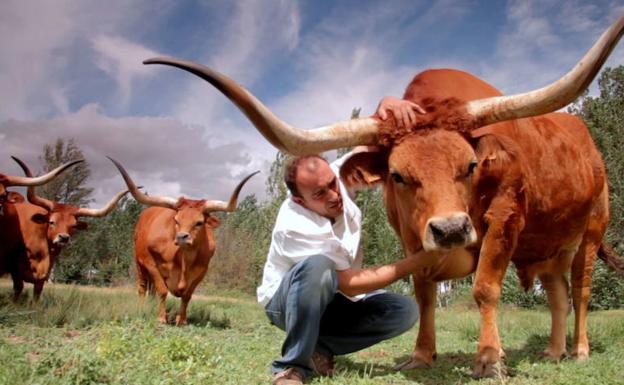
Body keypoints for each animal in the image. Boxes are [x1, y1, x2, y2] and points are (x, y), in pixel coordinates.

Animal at [108, 156, 258, 324]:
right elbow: (162, 291)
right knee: (142, 287)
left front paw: (182, 320)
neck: (184, 258)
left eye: (199, 222)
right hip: (139, 263)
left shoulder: (201, 272)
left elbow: (187, 296)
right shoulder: (151, 264)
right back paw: (143, 308)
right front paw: (161, 318)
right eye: (176, 220)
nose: (181, 237)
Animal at [141, 15, 624, 376]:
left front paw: (489, 359)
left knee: (580, 292)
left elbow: (485, 288)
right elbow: (424, 292)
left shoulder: (504, 219)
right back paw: (554, 351)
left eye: (470, 165)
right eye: (397, 175)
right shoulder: (411, 235)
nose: (451, 230)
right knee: (558, 293)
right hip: (549, 247)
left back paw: (579, 351)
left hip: (591, 230)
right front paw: (423, 355)